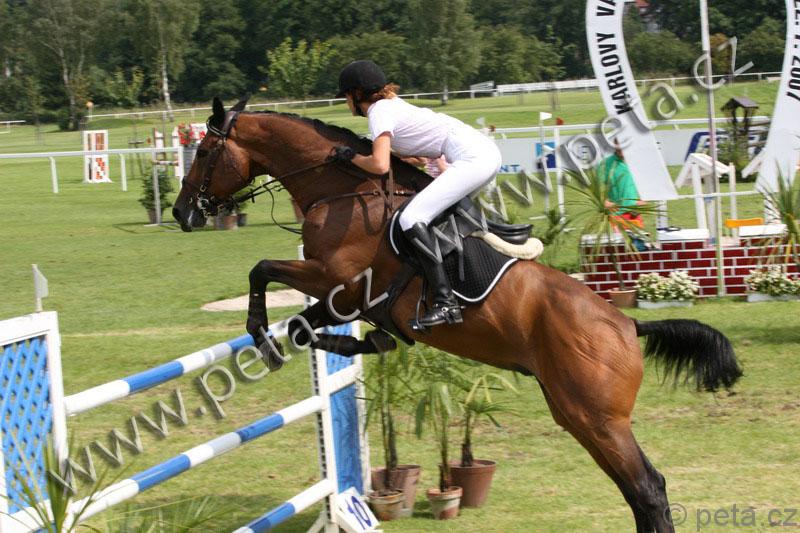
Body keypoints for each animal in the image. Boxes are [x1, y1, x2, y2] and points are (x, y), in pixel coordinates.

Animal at [173, 98, 742, 532]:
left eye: (203, 151)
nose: (181, 213)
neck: (344, 192)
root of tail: (626, 324)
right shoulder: (350, 298)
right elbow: (302, 325)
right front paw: (360, 343)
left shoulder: (336, 280)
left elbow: (261, 271)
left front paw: (260, 335)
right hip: (578, 416)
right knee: (636, 489)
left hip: (598, 419)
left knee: (647, 488)